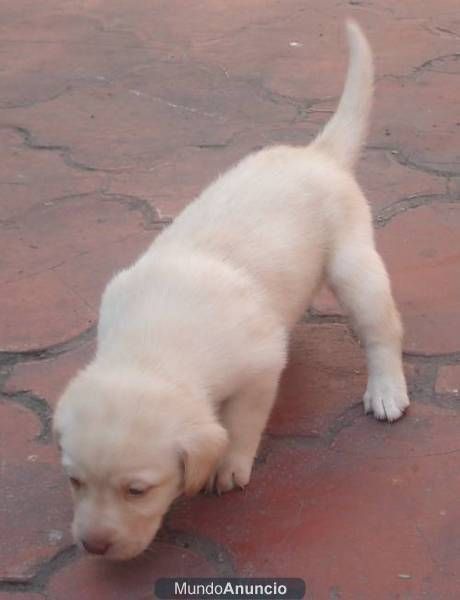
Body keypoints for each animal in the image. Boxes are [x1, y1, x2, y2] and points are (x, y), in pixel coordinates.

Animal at [54, 19, 410, 564]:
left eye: (138, 490)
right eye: (75, 482)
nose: (93, 546)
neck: (152, 345)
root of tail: (317, 154)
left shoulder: (259, 368)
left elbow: (241, 424)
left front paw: (228, 467)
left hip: (355, 265)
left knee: (382, 330)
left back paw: (387, 389)